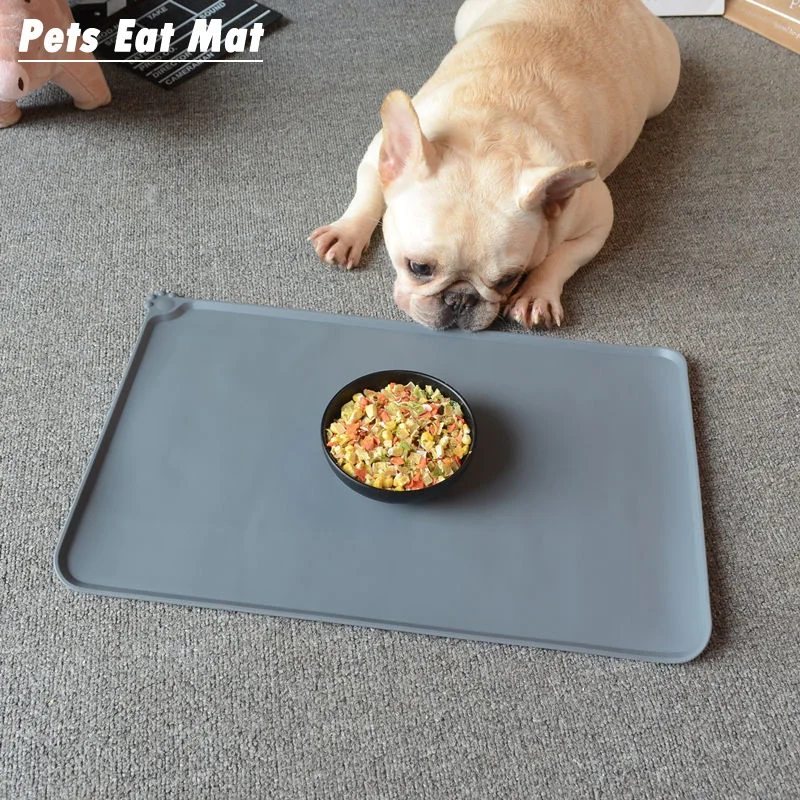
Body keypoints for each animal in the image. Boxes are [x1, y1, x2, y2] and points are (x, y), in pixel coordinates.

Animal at [310, 0, 680, 331]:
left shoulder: (597, 217)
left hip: (664, 86)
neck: (488, 138)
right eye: (418, 267)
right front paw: (347, 232)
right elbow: (369, 193)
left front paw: (537, 293)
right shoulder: (379, 151)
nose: (460, 300)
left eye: (508, 280)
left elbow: (562, 257)